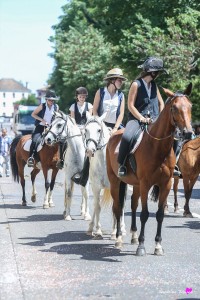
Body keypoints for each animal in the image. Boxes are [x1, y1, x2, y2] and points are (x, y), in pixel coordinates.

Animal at [106, 83, 192, 256]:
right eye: (174, 108)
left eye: (190, 106)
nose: (188, 132)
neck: (157, 146)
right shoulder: (146, 184)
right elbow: (145, 214)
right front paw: (141, 246)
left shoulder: (165, 184)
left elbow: (159, 214)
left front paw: (158, 245)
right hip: (115, 181)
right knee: (118, 207)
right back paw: (118, 239)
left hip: (136, 184)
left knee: (133, 205)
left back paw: (133, 236)